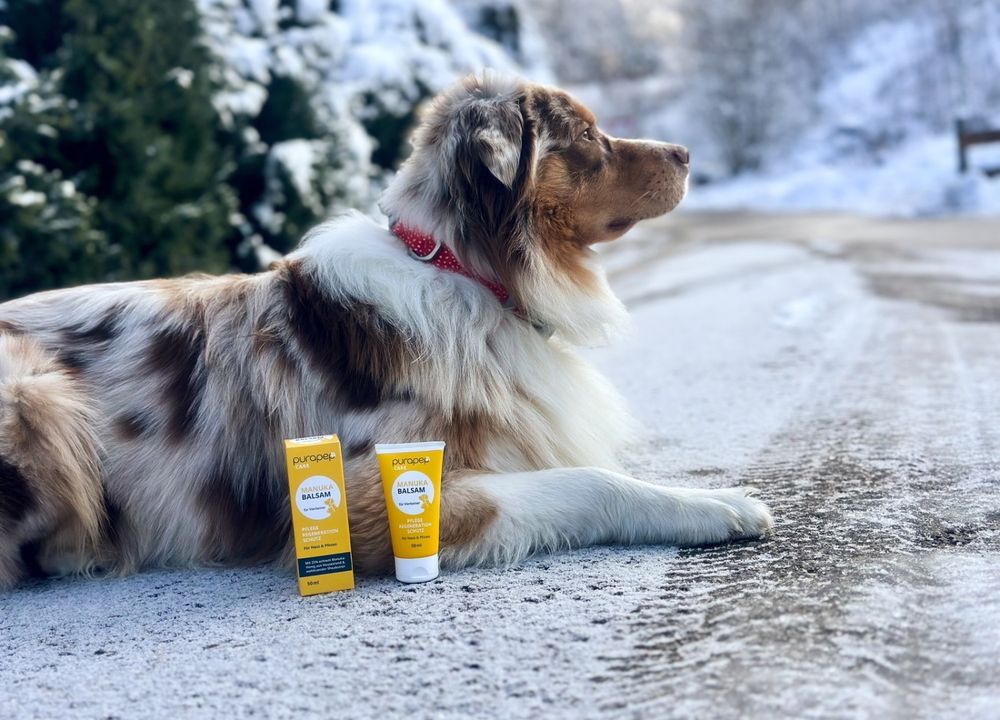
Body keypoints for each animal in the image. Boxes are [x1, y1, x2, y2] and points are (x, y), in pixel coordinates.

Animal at [0, 73, 772, 592]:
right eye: (586, 135)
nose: (685, 153)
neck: (470, 275)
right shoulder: (370, 497)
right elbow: (590, 482)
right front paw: (715, 505)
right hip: (39, 395)